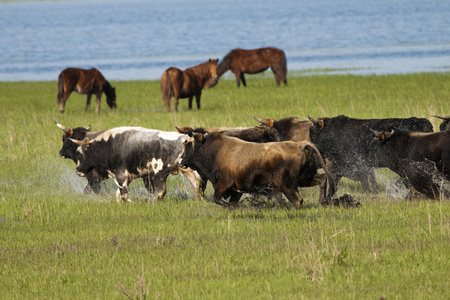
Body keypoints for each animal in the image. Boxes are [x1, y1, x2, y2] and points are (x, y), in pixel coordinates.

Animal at [71, 125, 200, 203]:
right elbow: (118, 194)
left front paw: (131, 203)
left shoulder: (120, 175)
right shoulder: (128, 177)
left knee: (160, 191)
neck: (107, 145)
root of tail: (183, 138)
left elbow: (124, 194)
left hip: (160, 173)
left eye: (79, 154)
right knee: (197, 185)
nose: (77, 171)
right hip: (188, 170)